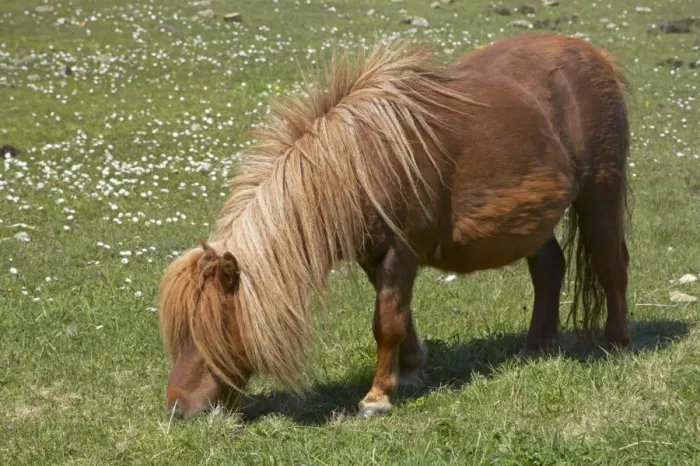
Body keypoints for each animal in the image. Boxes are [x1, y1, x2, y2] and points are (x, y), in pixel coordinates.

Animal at [158, 33, 632, 420]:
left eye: (207, 329)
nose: (178, 410)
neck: (359, 163)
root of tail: (597, 56)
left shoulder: (398, 253)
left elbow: (386, 322)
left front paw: (377, 398)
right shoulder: (375, 258)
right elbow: (401, 318)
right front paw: (409, 372)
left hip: (600, 194)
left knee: (612, 264)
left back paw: (617, 344)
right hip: (535, 218)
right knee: (550, 268)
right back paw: (536, 347)